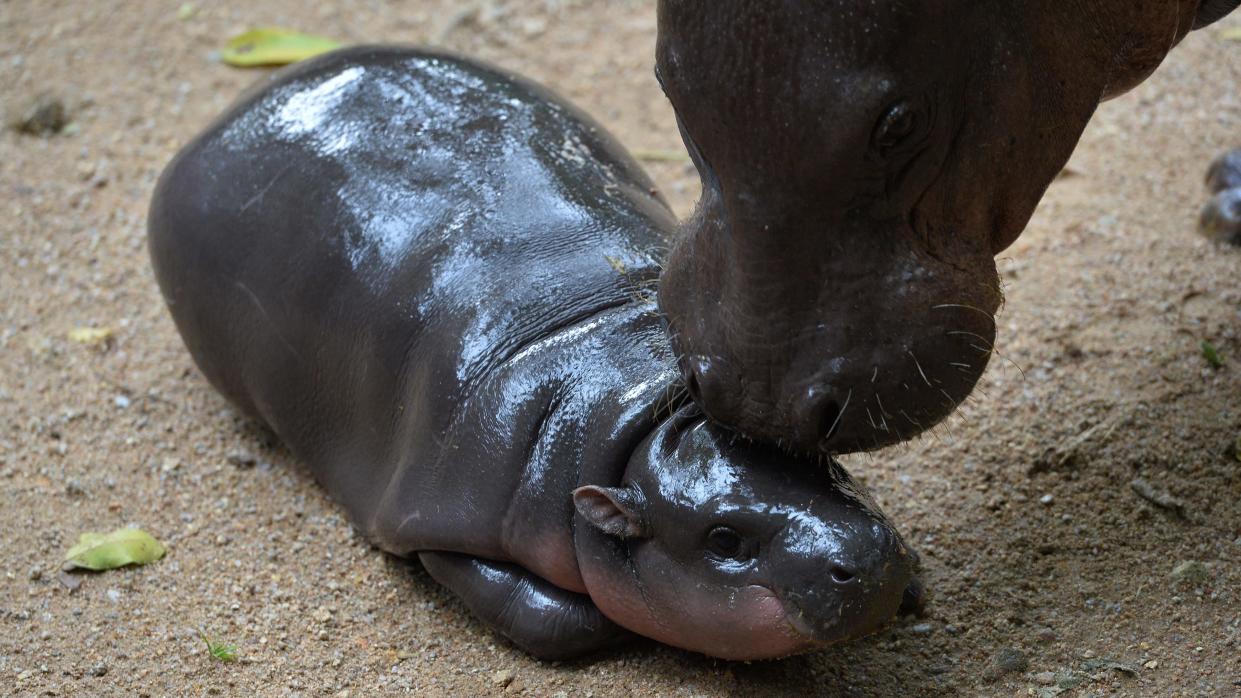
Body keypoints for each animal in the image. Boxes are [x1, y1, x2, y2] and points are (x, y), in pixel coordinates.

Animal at [147, 47, 923, 655]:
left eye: (821, 463)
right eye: (724, 539)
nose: (863, 557)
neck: (634, 409)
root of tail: (232, 113)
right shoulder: (439, 520)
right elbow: (549, 616)